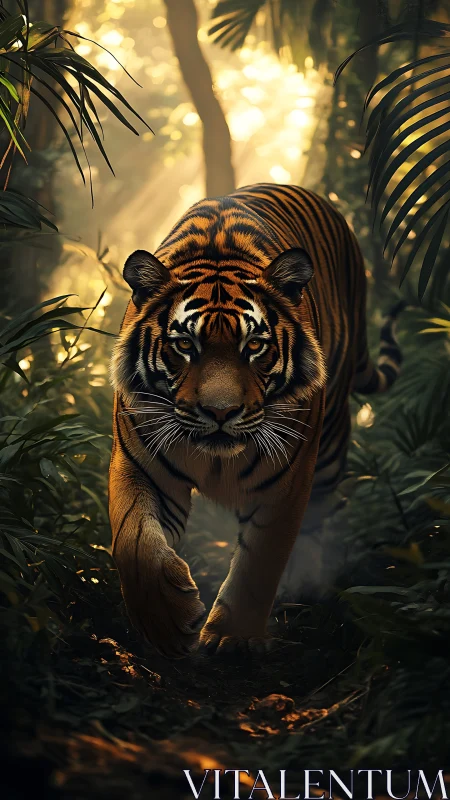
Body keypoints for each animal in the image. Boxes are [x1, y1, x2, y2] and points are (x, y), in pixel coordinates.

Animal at [109, 183, 403, 658]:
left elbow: (259, 562)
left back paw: (309, 589)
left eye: (255, 345)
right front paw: (166, 621)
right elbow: (133, 540)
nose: (220, 411)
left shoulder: (286, 482)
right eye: (185, 345)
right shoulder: (142, 466)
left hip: (329, 445)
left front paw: (234, 638)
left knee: (324, 515)